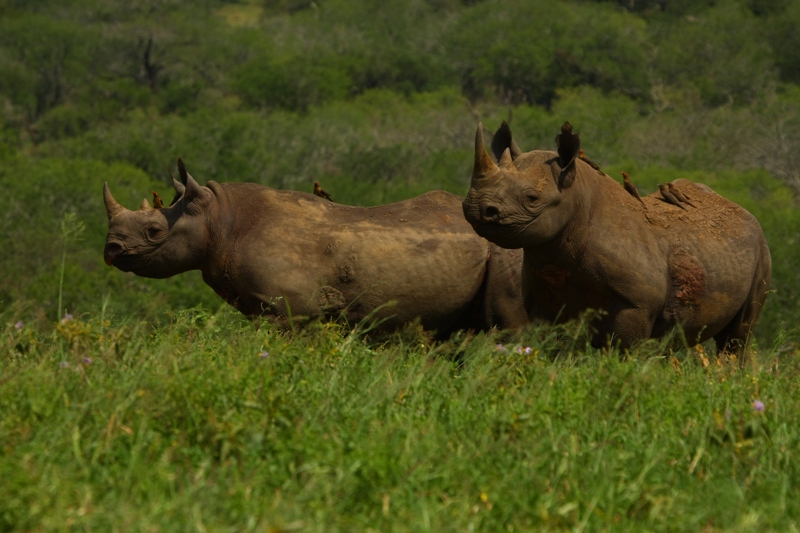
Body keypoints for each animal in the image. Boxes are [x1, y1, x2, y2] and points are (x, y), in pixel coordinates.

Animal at [462, 121, 768, 358]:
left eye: (532, 198)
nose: (477, 207)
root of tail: (744, 211)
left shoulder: (636, 305)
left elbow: (626, 352)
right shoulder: (542, 301)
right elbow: (555, 352)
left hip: (761, 249)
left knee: (738, 337)